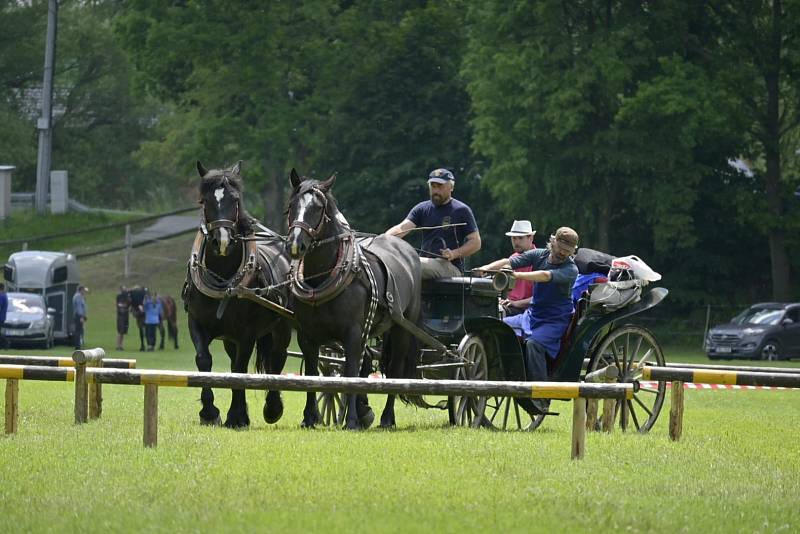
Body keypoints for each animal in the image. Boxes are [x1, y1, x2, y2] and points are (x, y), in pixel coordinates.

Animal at [183, 161, 292, 430]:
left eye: (235, 200)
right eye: (204, 201)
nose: (221, 241)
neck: (224, 278)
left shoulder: (247, 333)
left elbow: (240, 369)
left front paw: (235, 415)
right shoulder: (196, 323)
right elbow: (204, 360)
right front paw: (210, 412)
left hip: (282, 325)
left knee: (277, 357)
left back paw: (272, 408)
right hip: (230, 338)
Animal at [288, 171, 424, 432]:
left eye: (318, 208)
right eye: (292, 206)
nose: (295, 244)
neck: (321, 277)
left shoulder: (351, 333)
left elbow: (351, 373)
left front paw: (351, 420)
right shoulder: (307, 336)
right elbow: (311, 374)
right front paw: (309, 418)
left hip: (402, 329)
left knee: (394, 370)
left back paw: (386, 418)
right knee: (368, 361)